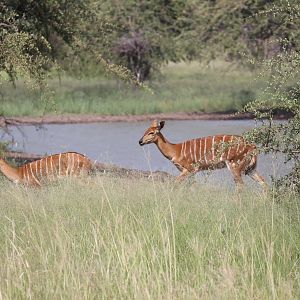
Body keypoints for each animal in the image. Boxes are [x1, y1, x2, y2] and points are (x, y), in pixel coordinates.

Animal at [138, 120, 268, 189]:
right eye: (145, 131)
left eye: (152, 132)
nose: (140, 141)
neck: (175, 150)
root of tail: (253, 146)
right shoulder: (191, 172)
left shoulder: (191, 169)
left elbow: (176, 182)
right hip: (250, 168)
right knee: (263, 181)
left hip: (234, 165)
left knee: (240, 185)